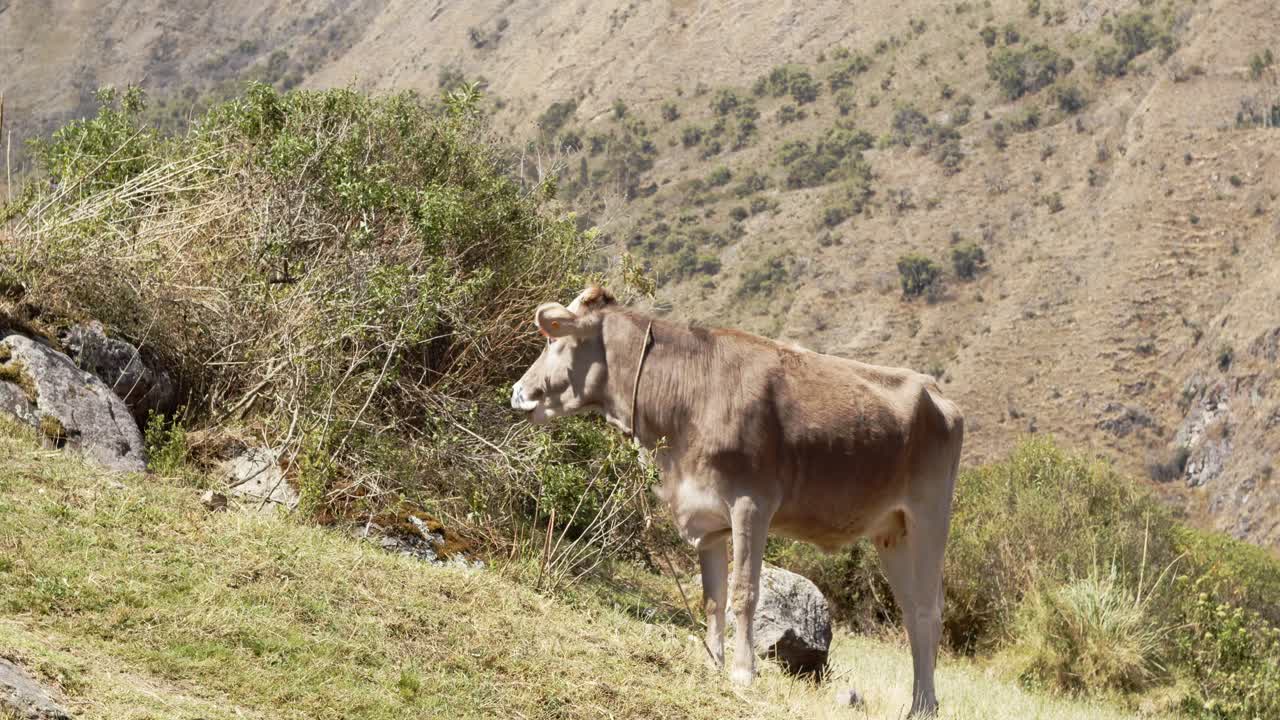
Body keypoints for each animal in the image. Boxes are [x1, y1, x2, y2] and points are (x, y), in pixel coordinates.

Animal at [510, 286, 963, 717]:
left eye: (554, 340)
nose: (517, 392)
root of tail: (935, 390)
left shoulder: (751, 504)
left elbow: (744, 591)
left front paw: (744, 672)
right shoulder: (707, 519)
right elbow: (713, 599)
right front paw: (714, 663)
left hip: (929, 517)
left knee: (929, 611)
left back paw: (925, 706)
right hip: (892, 531)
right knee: (911, 612)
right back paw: (919, 704)